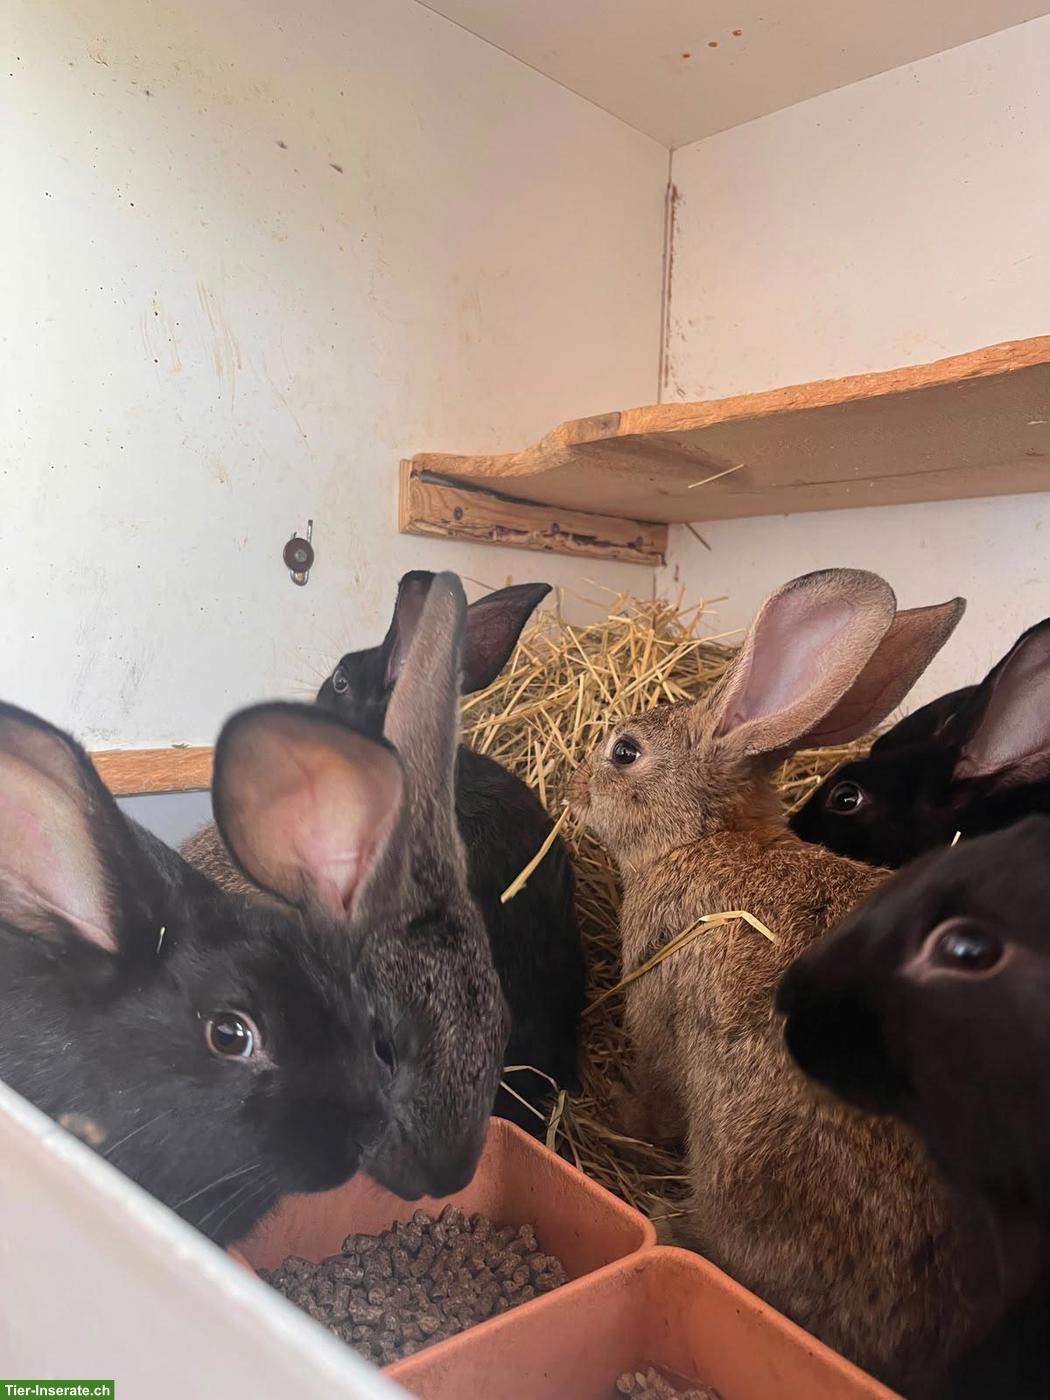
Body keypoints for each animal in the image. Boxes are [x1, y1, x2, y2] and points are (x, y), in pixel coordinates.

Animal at [568, 569, 997, 1396]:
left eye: (625, 751)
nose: (572, 789)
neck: (706, 840)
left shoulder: (660, 1012)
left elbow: (654, 1097)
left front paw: (615, 1110)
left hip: (747, 1154)